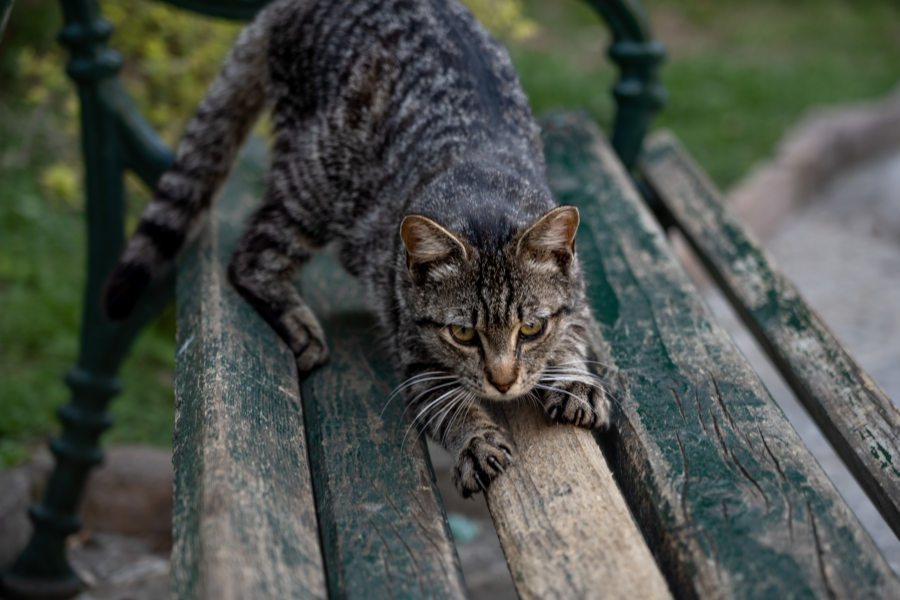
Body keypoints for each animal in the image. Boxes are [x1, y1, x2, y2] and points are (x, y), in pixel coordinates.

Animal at [103, 0, 612, 496]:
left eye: (531, 327)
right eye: (462, 334)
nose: (502, 383)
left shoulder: (579, 300)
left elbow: (572, 335)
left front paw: (574, 379)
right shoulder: (416, 358)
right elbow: (449, 408)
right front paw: (476, 440)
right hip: (314, 181)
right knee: (251, 255)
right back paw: (300, 324)